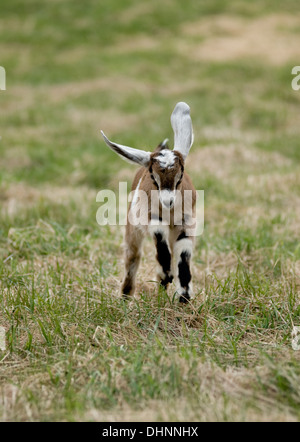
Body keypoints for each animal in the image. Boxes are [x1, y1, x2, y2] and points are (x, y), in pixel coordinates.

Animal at [101, 102, 197, 302]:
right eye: (153, 176)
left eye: (180, 175)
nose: (168, 201)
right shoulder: (149, 216)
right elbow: (158, 238)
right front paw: (167, 275)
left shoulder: (186, 221)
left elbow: (183, 253)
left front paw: (184, 296)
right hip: (132, 228)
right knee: (133, 256)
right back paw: (126, 295)